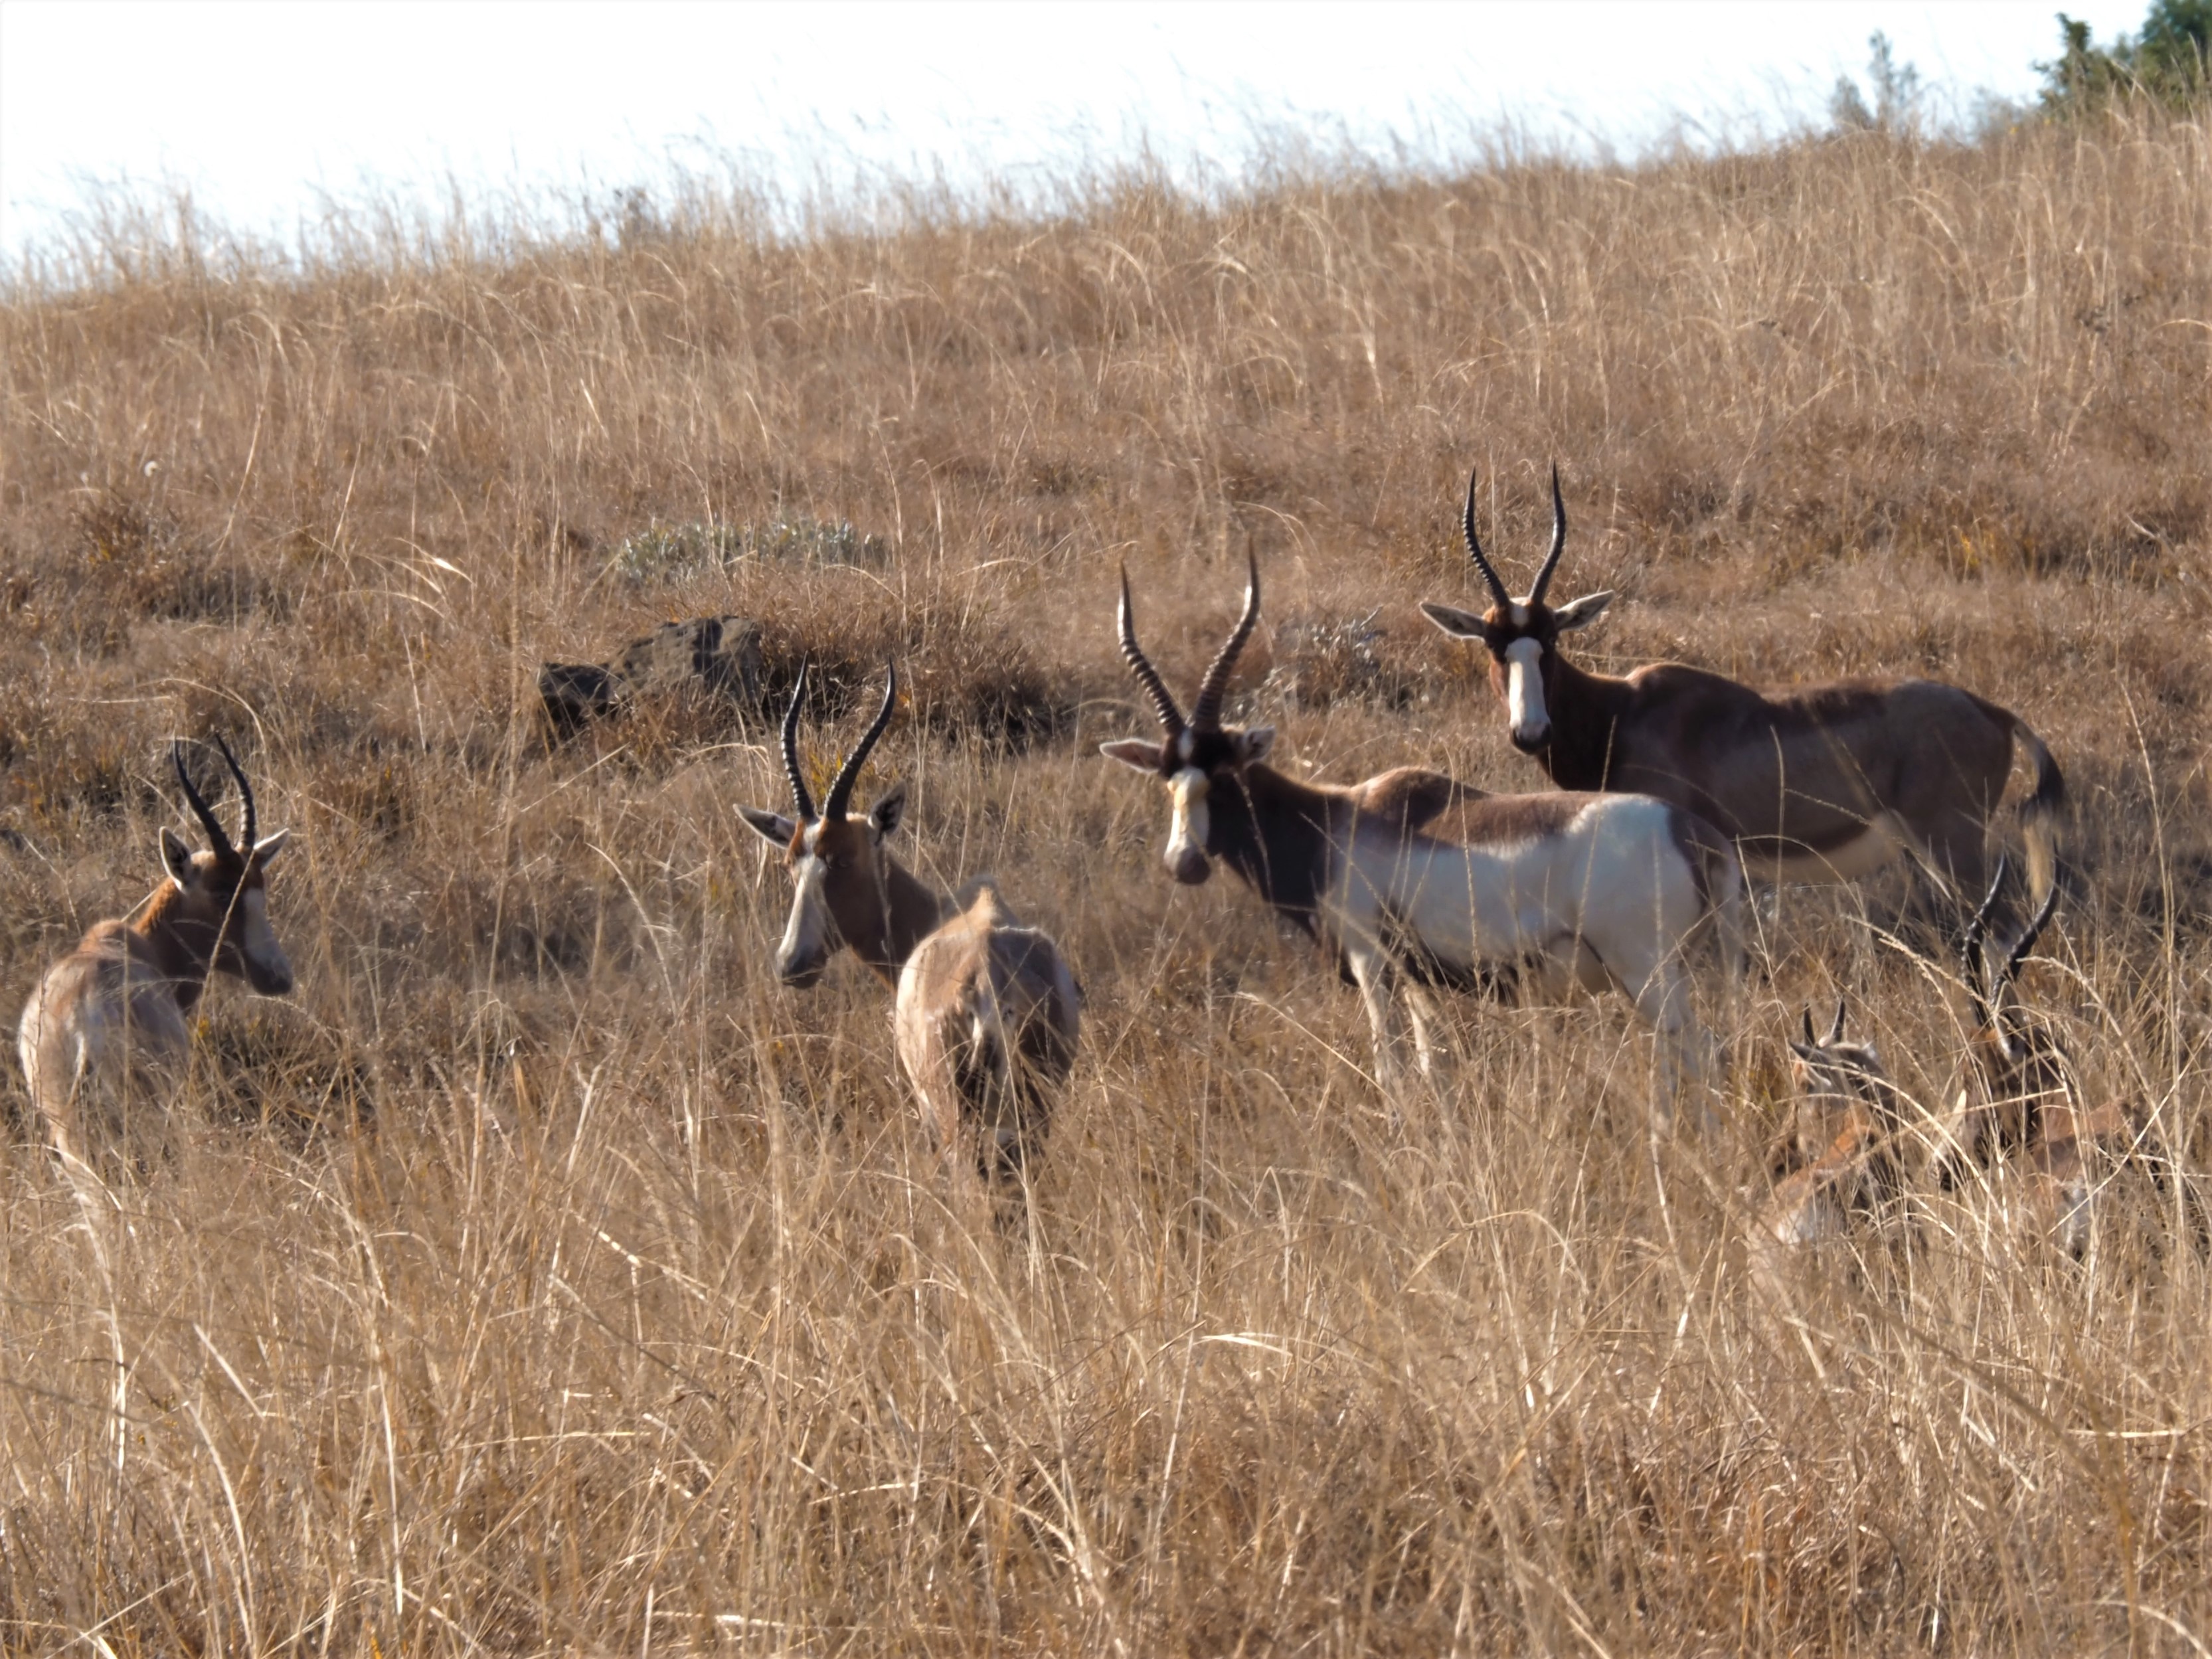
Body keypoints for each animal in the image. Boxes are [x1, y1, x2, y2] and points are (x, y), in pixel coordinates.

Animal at [18, 739, 294, 1185]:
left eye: (260, 887)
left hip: (69, 1134)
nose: (278, 976)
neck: (127, 946)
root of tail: (83, 1021)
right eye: (222, 894)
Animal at [738, 663, 1084, 1185]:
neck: (948, 913)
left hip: (958, 1123)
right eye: (789, 862)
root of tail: (986, 985)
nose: (791, 964)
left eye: (843, 860)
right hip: (1028, 1119)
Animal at [1101, 553, 1743, 1110]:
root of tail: (1694, 837)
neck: (1341, 820)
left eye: (1222, 771)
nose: (1183, 861)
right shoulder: (1418, 984)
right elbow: (1435, 1067)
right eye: (1168, 776)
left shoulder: (1372, 965)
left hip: (1645, 974)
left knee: (1700, 1054)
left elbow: (1392, 1070)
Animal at [1424, 462, 2061, 915]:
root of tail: (1991, 712)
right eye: (1493, 644)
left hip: (1951, 846)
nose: (1530, 732)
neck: (1622, 713)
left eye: (1550, 640)